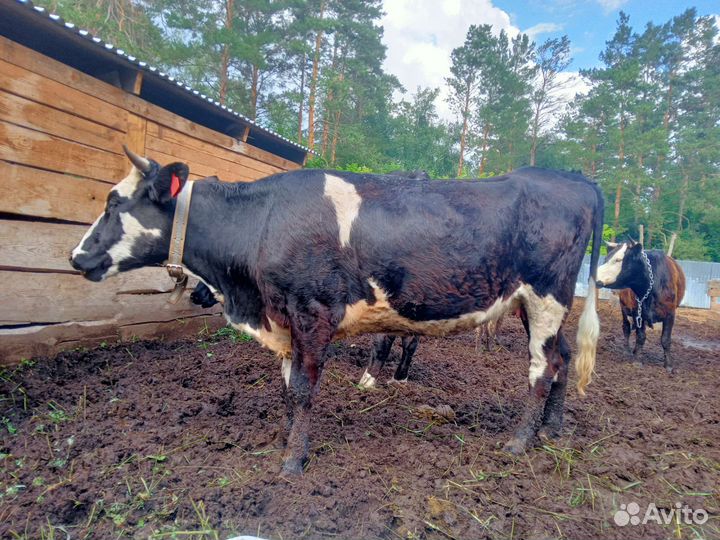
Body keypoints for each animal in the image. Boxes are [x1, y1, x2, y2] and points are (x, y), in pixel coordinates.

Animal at [70, 147, 604, 474]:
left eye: (114, 202)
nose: (76, 256)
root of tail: (572, 179)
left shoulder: (312, 312)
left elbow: (304, 390)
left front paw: (293, 461)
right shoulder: (284, 320)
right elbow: (287, 389)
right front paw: (283, 440)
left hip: (547, 295)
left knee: (543, 366)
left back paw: (519, 442)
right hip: (535, 305)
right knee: (564, 358)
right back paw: (552, 430)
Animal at [597, 240, 686, 373]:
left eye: (618, 260)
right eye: (606, 259)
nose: (594, 276)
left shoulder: (670, 314)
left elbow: (665, 339)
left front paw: (668, 365)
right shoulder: (636, 312)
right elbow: (640, 336)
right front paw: (637, 360)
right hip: (624, 307)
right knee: (626, 327)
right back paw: (628, 350)